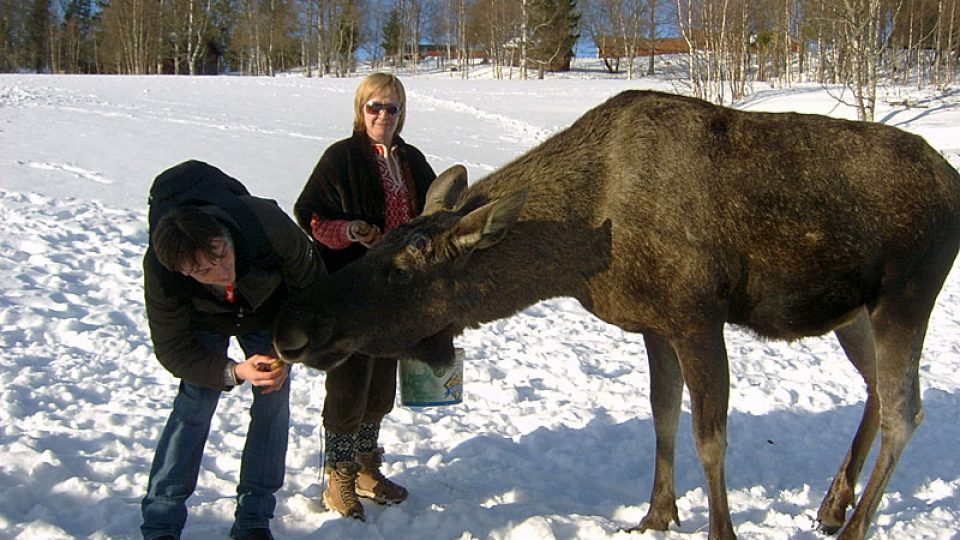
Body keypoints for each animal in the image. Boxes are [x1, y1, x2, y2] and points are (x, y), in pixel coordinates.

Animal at [276, 90, 960, 536]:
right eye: (373, 246)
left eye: (399, 271)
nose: (293, 329)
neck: (582, 254)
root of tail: (952, 181)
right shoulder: (656, 324)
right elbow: (662, 416)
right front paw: (656, 516)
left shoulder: (696, 315)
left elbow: (710, 436)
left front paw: (717, 530)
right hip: (854, 313)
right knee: (877, 390)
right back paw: (832, 505)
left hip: (907, 295)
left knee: (906, 409)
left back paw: (855, 523)